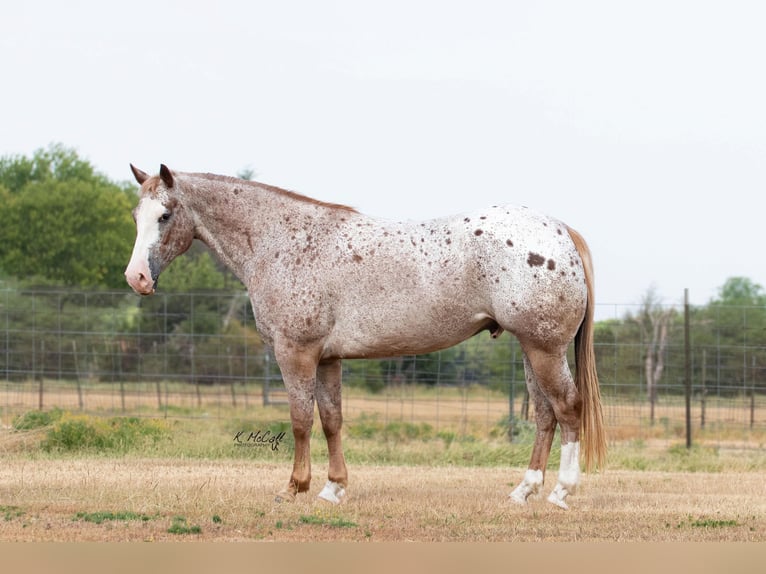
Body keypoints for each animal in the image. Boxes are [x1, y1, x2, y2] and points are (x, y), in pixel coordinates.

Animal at [124, 164, 608, 510]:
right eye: (135, 216)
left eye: (165, 215)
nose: (137, 278)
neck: (283, 241)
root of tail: (560, 230)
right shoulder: (327, 359)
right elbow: (331, 420)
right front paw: (333, 489)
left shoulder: (296, 353)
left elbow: (300, 421)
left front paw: (294, 487)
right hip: (530, 348)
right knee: (545, 414)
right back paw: (524, 491)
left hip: (544, 348)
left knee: (568, 407)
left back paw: (562, 492)